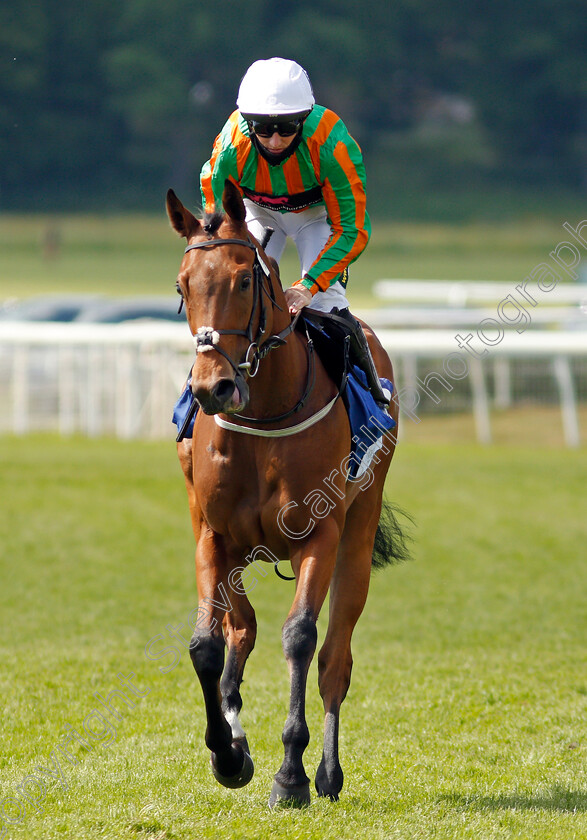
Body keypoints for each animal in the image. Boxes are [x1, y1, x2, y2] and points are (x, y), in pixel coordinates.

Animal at [165, 179, 404, 808]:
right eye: (183, 285)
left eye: (244, 281)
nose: (213, 387)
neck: (263, 414)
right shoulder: (213, 534)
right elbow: (207, 645)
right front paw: (227, 754)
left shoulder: (318, 534)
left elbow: (300, 637)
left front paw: (290, 774)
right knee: (241, 630)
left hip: (357, 535)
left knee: (335, 658)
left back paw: (327, 773)